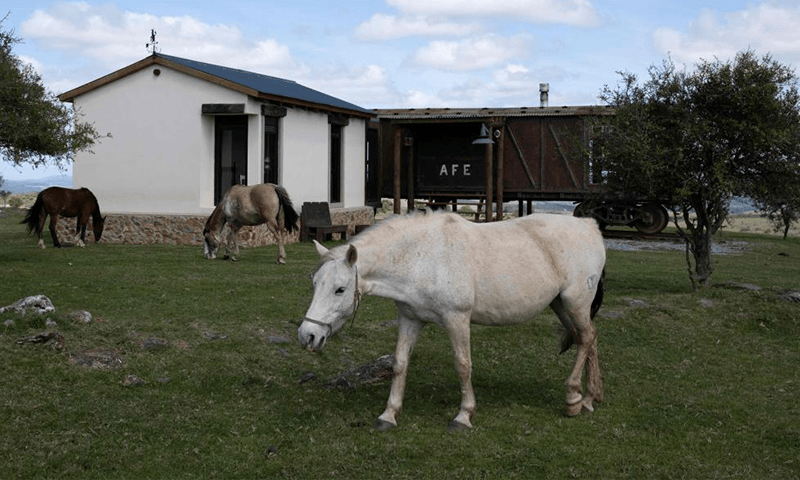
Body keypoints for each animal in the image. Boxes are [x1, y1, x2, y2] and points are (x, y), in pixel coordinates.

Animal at [298, 211, 606, 430]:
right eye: (314, 283)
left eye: (340, 289)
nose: (307, 335)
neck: (422, 258)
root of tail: (589, 226)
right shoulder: (410, 318)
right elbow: (399, 364)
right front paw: (389, 414)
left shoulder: (456, 319)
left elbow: (463, 365)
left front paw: (464, 416)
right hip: (562, 305)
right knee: (589, 338)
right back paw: (591, 397)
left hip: (576, 301)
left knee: (585, 339)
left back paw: (573, 399)